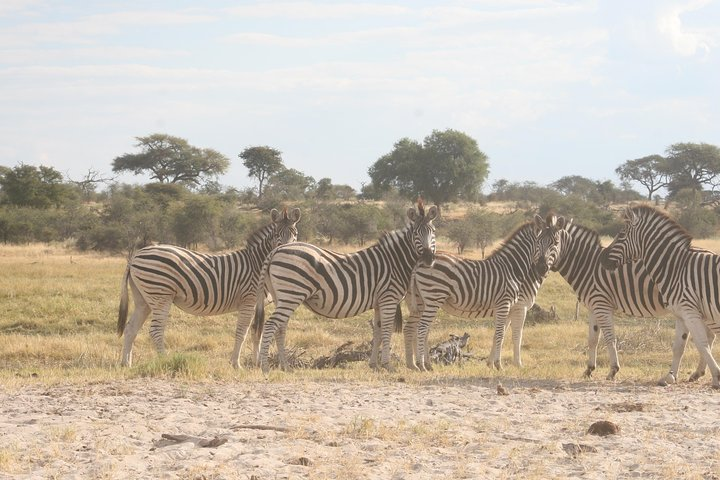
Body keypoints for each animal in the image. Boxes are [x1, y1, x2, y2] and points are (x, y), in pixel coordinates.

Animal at [117, 207, 301, 368]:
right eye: (276, 234)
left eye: (295, 234)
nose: (287, 250)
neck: (257, 264)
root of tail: (135, 257)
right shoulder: (248, 300)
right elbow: (242, 332)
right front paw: (236, 364)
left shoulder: (257, 304)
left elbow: (257, 332)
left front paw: (255, 363)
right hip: (160, 295)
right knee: (155, 330)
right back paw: (164, 360)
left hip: (144, 299)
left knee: (131, 328)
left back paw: (126, 363)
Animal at [253, 199, 438, 374]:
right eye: (416, 233)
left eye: (433, 232)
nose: (429, 259)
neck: (394, 261)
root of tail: (275, 251)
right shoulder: (389, 298)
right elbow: (386, 330)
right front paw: (387, 365)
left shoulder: (379, 302)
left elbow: (377, 332)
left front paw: (374, 365)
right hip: (291, 295)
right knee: (270, 325)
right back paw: (265, 368)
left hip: (282, 297)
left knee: (280, 327)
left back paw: (285, 367)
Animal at [403, 214, 571, 371]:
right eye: (538, 242)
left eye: (556, 243)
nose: (542, 269)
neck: (513, 268)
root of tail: (420, 261)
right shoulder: (513, 306)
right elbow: (512, 335)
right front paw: (510, 365)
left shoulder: (507, 308)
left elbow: (498, 335)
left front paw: (491, 364)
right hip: (433, 297)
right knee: (421, 329)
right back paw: (422, 365)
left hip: (421, 301)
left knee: (416, 329)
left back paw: (421, 364)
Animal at [552, 222, 713, 382]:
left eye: (552, 243)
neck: (587, 265)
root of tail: (710, 252)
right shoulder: (593, 307)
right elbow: (592, 339)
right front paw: (589, 370)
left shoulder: (602, 304)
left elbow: (609, 338)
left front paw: (612, 371)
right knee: (711, 336)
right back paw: (698, 373)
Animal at [600, 205, 720, 388]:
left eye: (621, 235)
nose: (601, 258)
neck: (676, 268)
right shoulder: (681, 313)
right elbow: (679, 346)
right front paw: (669, 377)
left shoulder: (690, 311)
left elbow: (702, 343)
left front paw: (717, 377)